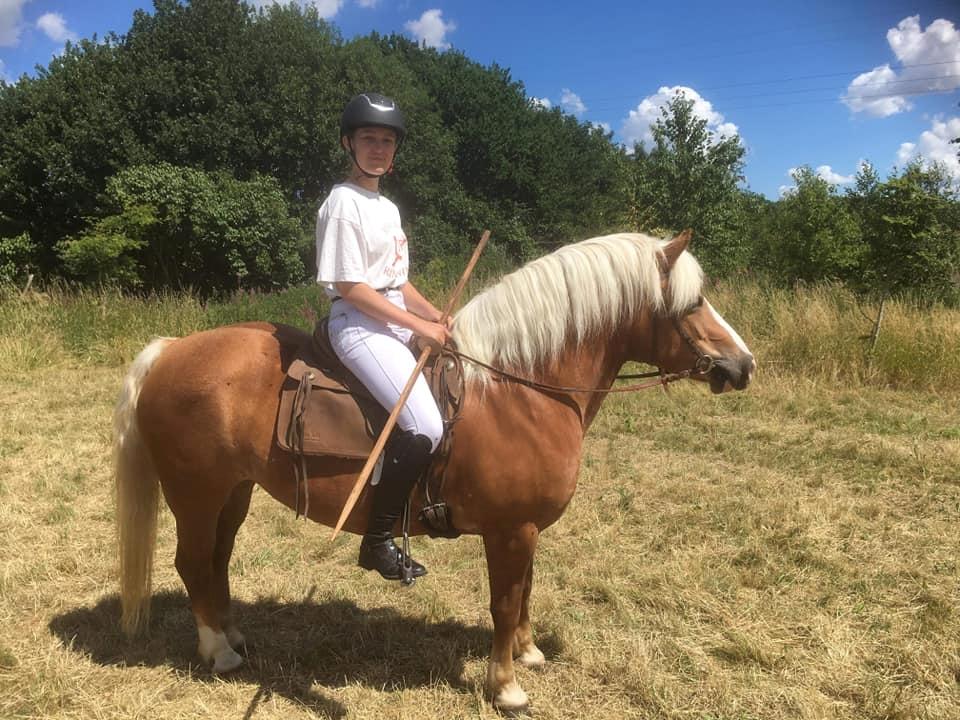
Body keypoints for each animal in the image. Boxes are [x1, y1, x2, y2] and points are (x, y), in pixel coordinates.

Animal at [114, 229, 756, 708]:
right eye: (692, 303)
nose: (743, 365)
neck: (520, 389)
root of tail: (170, 350)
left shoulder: (526, 530)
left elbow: (526, 591)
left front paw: (528, 653)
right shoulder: (510, 530)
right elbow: (504, 602)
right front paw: (506, 687)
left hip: (234, 492)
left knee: (216, 561)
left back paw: (233, 635)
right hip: (195, 493)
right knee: (192, 562)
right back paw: (217, 652)